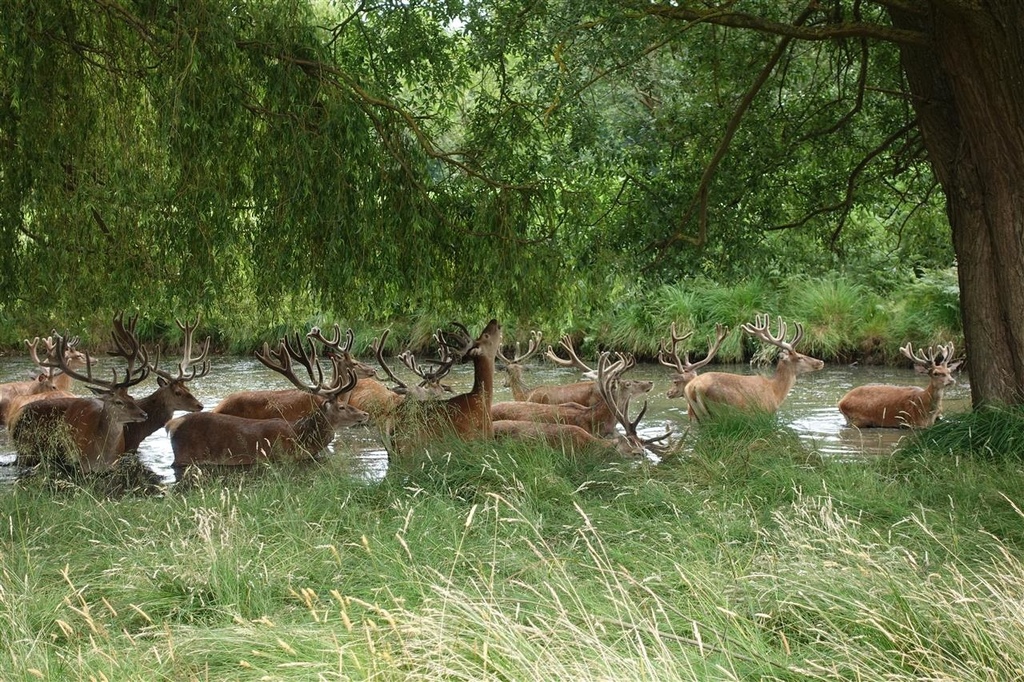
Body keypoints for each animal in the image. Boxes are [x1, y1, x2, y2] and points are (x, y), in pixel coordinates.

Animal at [9, 311, 149, 471]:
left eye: (132, 398)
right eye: (118, 402)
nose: (144, 414)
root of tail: (15, 418)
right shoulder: (82, 465)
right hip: (25, 448)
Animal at [385, 317, 503, 456]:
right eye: (486, 335)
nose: (494, 320)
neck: (482, 399)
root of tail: (392, 428)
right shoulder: (479, 439)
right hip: (410, 446)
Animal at [679, 313, 823, 419]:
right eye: (799, 357)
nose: (820, 362)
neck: (775, 392)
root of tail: (693, 387)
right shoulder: (765, 411)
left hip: (696, 416)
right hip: (720, 409)